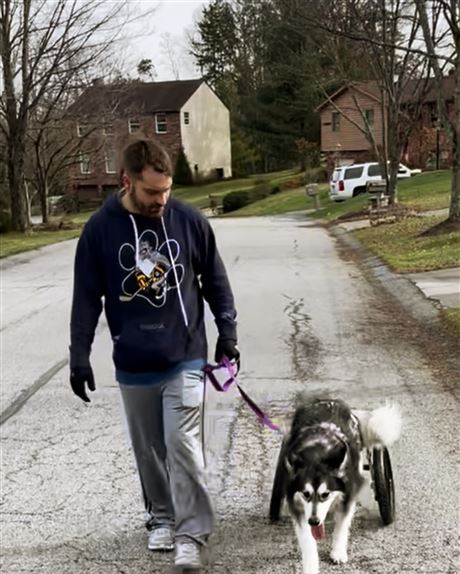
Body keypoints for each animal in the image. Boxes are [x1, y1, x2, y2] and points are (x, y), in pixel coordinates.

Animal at [270, 398, 402, 574]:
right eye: (305, 494)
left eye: (325, 494)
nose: (314, 521)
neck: (317, 455)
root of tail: (328, 400)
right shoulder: (298, 505)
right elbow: (307, 539)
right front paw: (311, 566)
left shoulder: (350, 491)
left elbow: (342, 525)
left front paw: (338, 552)